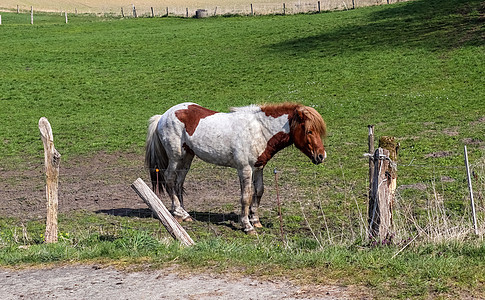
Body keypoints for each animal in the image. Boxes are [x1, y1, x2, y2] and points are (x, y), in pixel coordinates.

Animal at [144, 102, 326, 233]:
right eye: (309, 131)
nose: (321, 156)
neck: (259, 130)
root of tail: (163, 116)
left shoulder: (258, 168)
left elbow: (259, 191)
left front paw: (255, 220)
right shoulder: (245, 169)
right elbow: (246, 196)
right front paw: (247, 226)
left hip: (187, 157)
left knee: (179, 183)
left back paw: (185, 215)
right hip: (176, 157)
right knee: (169, 179)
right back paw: (178, 212)